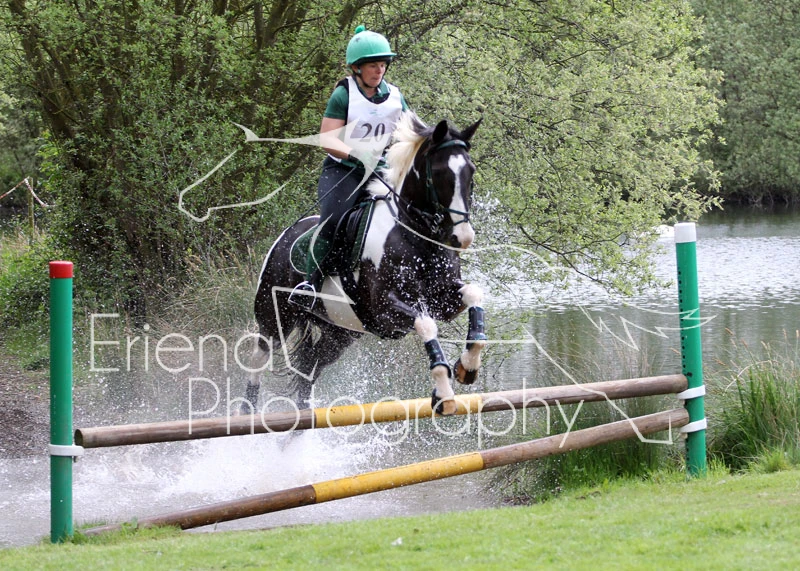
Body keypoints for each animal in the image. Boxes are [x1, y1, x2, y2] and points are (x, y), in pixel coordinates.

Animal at [242, 111, 486, 417]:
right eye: (440, 173)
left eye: (471, 172)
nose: (462, 238)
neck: (416, 235)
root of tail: (286, 235)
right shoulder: (385, 309)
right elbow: (426, 324)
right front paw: (444, 393)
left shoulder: (442, 299)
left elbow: (474, 294)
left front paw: (467, 367)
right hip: (275, 316)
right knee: (258, 357)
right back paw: (247, 412)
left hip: (340, 334)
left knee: (310, 366)